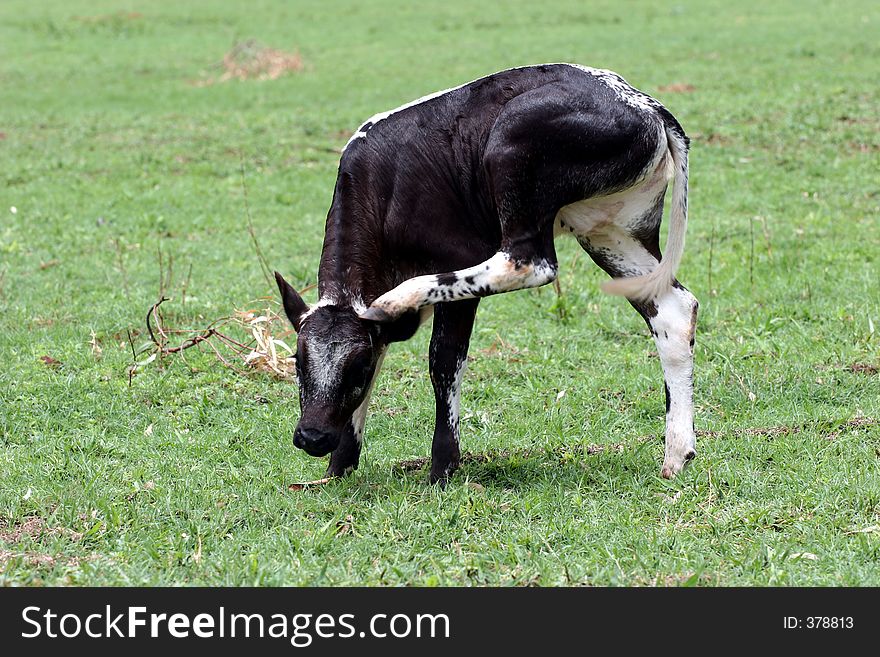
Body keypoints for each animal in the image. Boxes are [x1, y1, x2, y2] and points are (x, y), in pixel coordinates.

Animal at [278, 64, 696, 482]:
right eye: (298, 361)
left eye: (357, 368)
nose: (313, 436)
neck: (383, 189)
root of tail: (645, 104)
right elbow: (382, 350)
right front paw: (339, 466)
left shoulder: (456, 266)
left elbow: (443, 362)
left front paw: (442, 468)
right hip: (609, 231)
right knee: (673, 310)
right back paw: (678, 452)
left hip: (512, 150)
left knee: (530, 262)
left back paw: (401, 296)